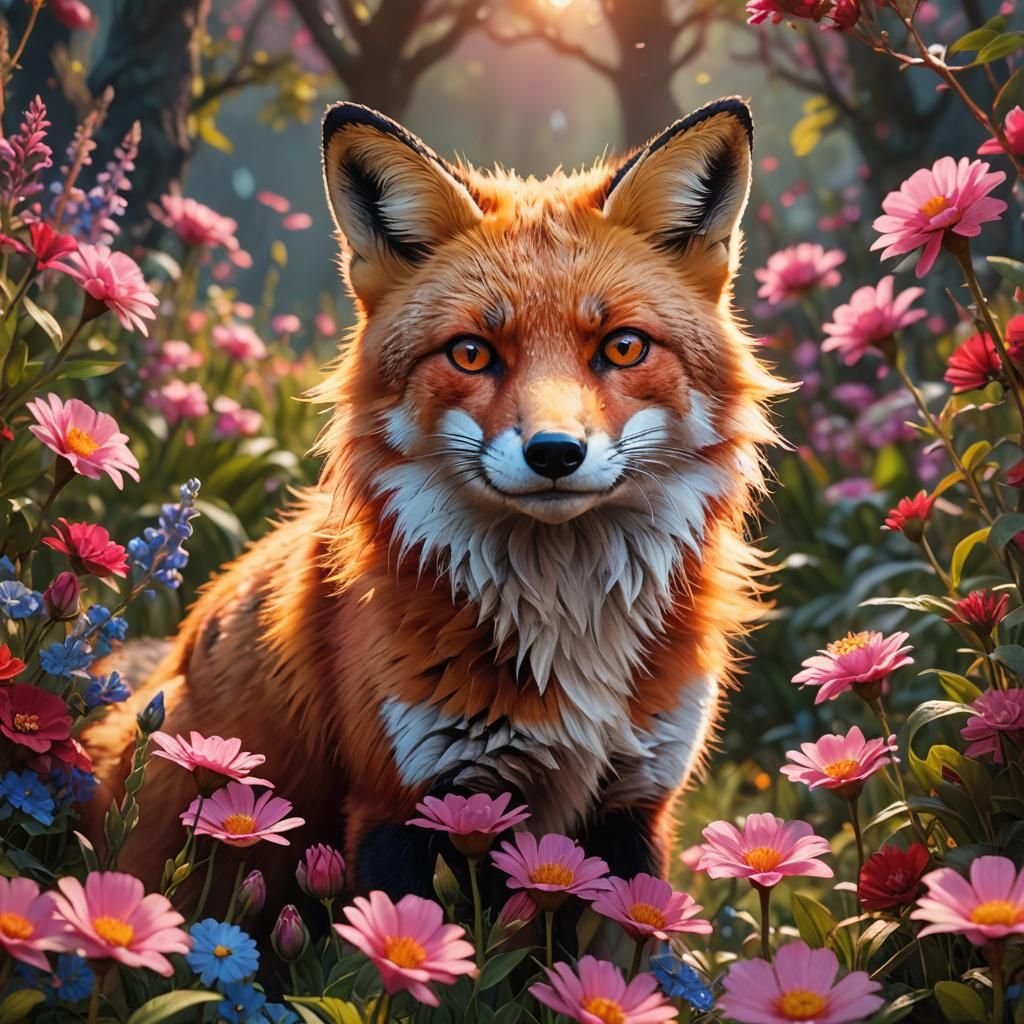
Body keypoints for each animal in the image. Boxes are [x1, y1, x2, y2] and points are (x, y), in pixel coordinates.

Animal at [85, 97, 785, 903]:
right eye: (472, 353)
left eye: (623, 347)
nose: (554, 453)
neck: (566, 627)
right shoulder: (402, 802)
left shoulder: (634, 805)